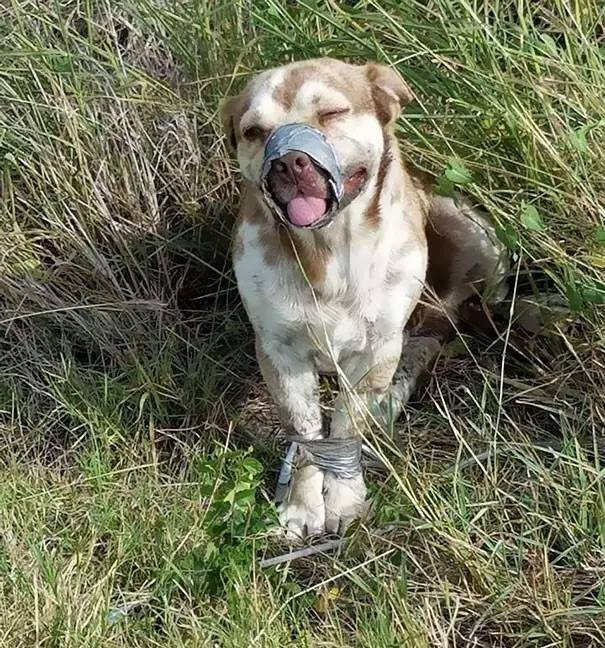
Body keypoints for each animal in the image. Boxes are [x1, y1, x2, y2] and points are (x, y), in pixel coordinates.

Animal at [219, 58, 508, 540]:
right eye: (254, 131)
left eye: (333, 113)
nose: (289, 161)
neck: (330, 252)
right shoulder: (279, 352)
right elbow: (307, 433)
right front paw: (301, 504)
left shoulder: (376, 348)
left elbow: (345, 425)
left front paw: (344, 499)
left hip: (472, 234)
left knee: (436, 333)